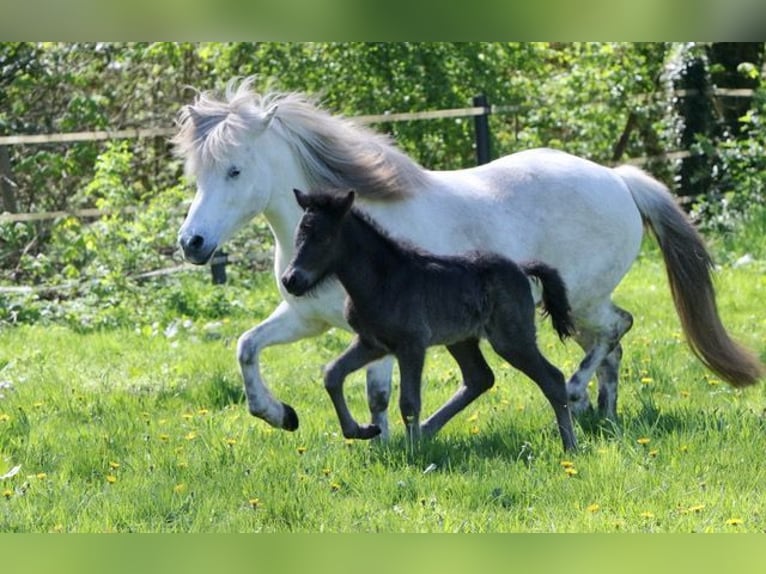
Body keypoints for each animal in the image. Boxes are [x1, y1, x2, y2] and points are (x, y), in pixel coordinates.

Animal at [172, 79, 760, 438]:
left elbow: (378, 393)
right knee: (610, 348)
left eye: (235, 171)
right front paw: (280, 415)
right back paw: (601, 414)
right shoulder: (304, 317)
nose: (192, 243)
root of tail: (618, 179)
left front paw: (385, 442)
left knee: (618, 329)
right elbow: (247, 348)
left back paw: (576, 396)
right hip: (575, 307)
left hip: (583, 299)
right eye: (196, 172)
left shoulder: (380, 336)